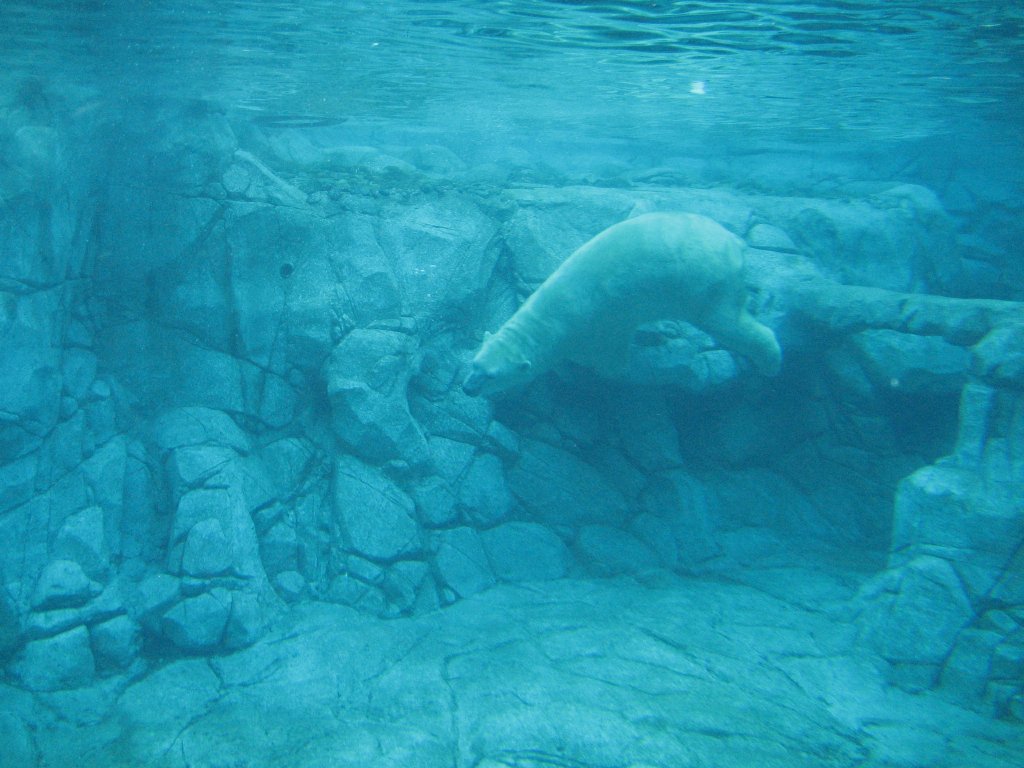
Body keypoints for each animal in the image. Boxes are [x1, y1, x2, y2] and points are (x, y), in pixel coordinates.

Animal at [462, 212, 781, 397]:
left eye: (491, 376)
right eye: (475, 362)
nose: (467, 388)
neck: (548, 320)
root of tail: (735, 241)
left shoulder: (599, 324)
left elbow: (611, 362)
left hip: (704, 283)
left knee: (726, 321)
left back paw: (770, 361)